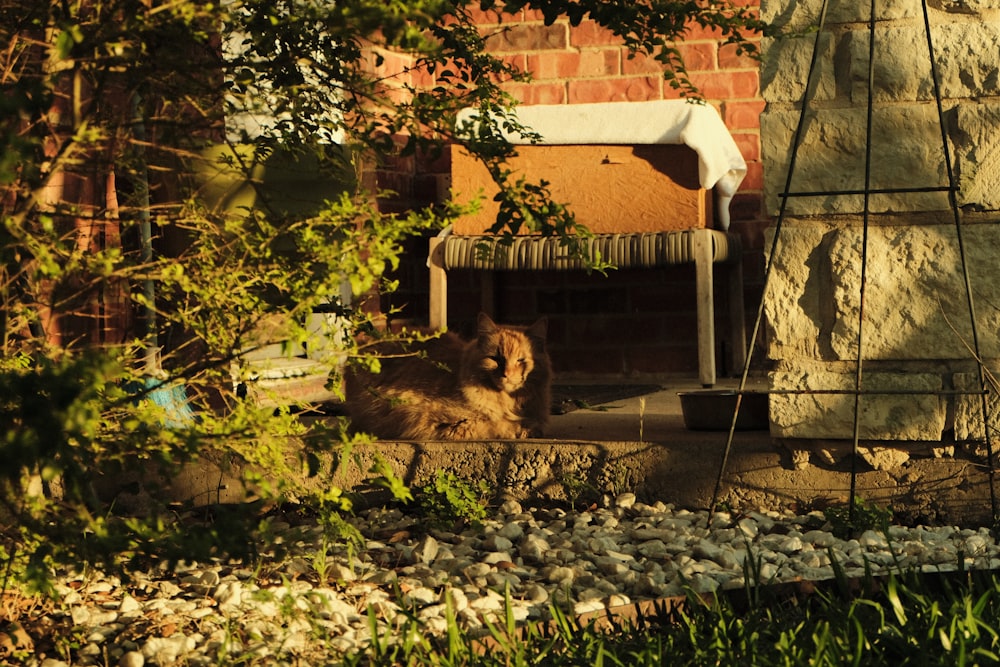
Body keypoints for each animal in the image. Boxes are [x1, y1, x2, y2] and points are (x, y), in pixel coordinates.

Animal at [342, 314, 548, 440]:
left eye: (521, 360)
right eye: (495, 359)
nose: (507, 374)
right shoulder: (447, 422)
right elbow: (496, 425)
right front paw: (524, 428)